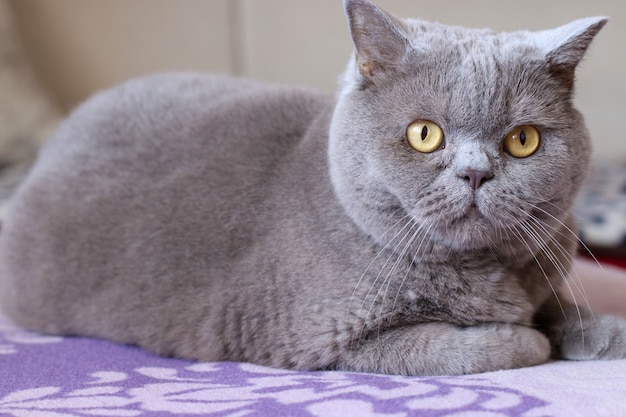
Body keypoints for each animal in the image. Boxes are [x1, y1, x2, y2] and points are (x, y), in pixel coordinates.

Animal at [1, 0, 624, 376]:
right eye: (425, 134)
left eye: (523, 141)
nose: (474, 173)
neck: (482, 271)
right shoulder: (322, 338)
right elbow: (469, 346)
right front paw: (534, 340)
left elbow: (558, 302)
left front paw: (602, 331)